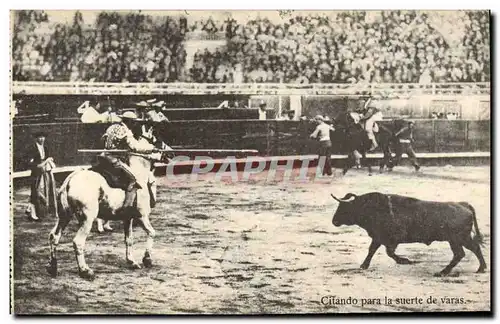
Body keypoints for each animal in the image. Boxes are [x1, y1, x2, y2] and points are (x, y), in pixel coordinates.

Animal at [330, 192, 486, 276]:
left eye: (344, 207)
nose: (334, 221)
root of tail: (463, 204)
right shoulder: (378, 238)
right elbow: (372, 250)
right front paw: (364, 265)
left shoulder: (390, 240)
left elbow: (388, 252)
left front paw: (405, 260)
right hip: (460, 239)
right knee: (472, 249)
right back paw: (480, 269)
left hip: (457, 239)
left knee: (461, 253)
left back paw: (443, 272)